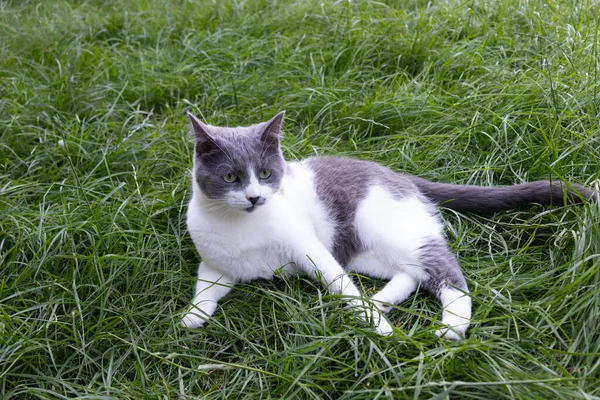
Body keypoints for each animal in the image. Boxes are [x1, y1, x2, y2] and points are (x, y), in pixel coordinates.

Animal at [179, 111, 596, 340]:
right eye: (230, 177)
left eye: (265, 173)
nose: (253, 197)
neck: (242, 225)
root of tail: (400, 176)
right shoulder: (215, 263)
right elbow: (207, 289)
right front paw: (192, 317)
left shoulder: (310, 248)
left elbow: (339, 284)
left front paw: (376, 327)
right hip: (365, 252)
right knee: (410, 275)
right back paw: (381, 301)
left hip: (388, 228)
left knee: (446, 273)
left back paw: (448, 327)